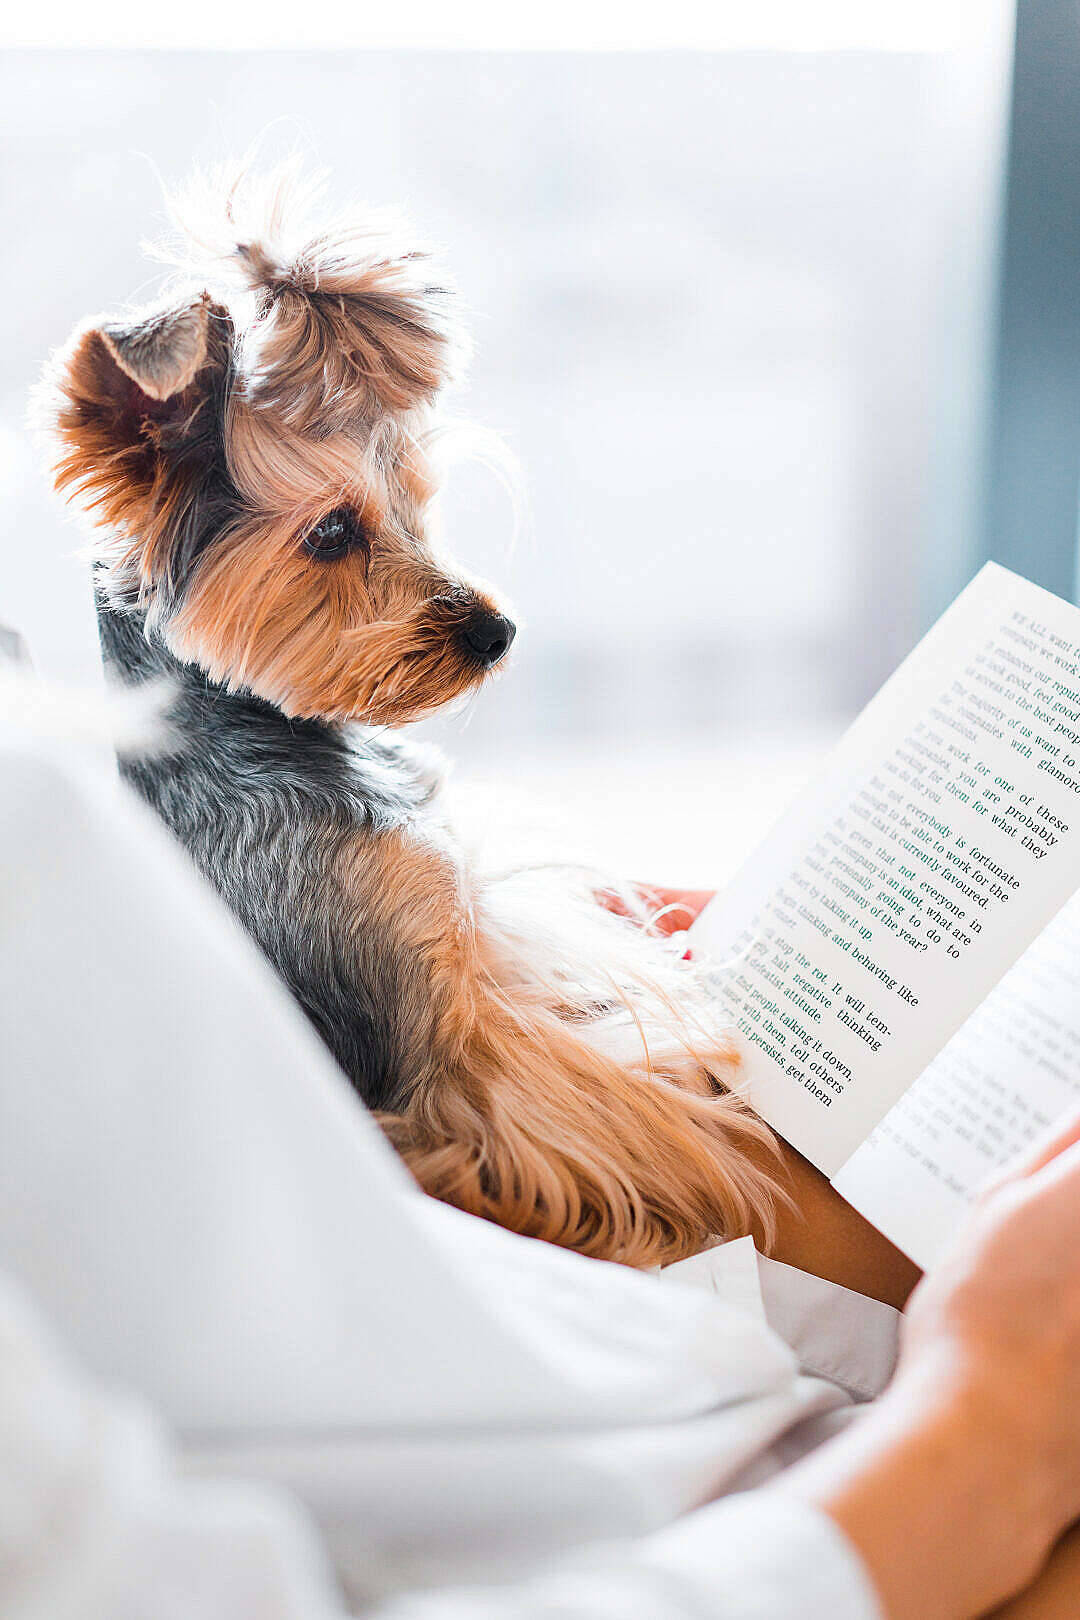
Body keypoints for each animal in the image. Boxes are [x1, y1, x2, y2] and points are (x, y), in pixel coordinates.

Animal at [38, 170, 773, 1270]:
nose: (499, 632)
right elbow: (639, 1116)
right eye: (333, 532)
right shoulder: (451, 1048)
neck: (265, 734)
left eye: (418, 502)